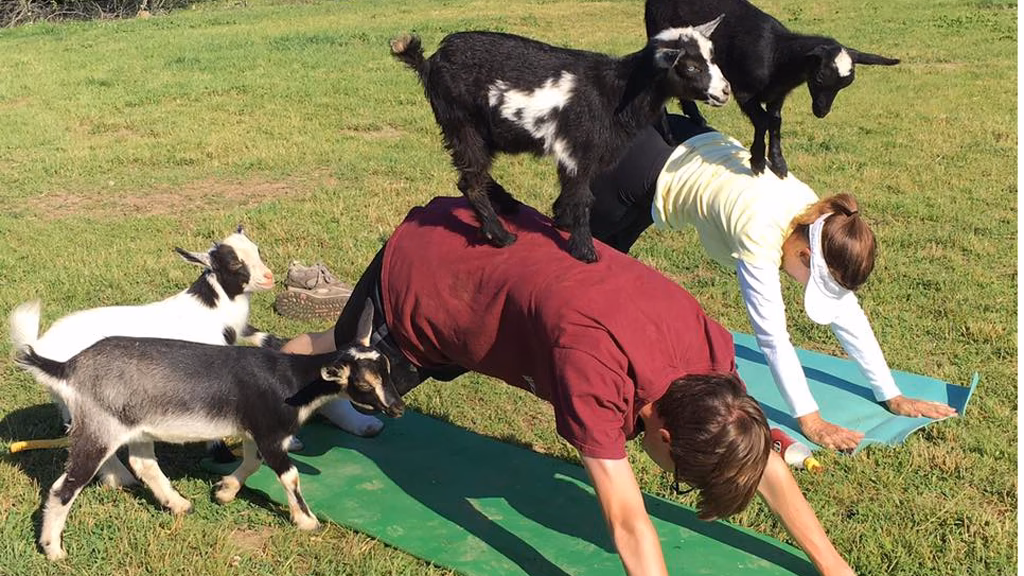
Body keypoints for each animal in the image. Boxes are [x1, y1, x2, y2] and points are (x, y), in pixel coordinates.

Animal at [11, 298, 403, 561]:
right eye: (363, 384)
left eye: (386, 369)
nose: (397, 407)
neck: (290, 380)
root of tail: (67, 367)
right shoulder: (270, 431)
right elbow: (289, 475)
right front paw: (307, 521)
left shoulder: (253, 431)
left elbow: (252, 463)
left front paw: (224, 491)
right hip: (98, 430)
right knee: (64, 487)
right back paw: (53, 549)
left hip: (135, 428)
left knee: (143, 464)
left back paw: (178, 503)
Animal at [391, 23, 729, 263]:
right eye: (690, 66)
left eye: (713, 57)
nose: (725, 92)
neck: (616, 90)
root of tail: (429, 63)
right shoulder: (578, 148)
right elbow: (583, 197)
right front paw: (585, 250)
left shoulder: (576, 154)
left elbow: (571, 192)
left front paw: (562, 221)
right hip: (462, 123)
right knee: (470, 181)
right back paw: (501, 235)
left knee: (475, 174)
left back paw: (507, 204)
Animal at [646, 0, 899, 178]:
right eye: (819, 77)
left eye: (845, 85)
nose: (821, 111)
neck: (776, 56)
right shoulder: (744, 92)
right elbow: (763, 121)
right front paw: (757, 161)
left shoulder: (777, 96)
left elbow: (775, 122)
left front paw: (778, 163)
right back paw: (670, 136)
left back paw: (697, 118)